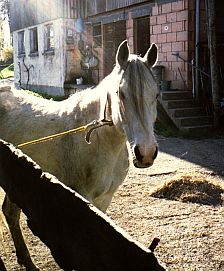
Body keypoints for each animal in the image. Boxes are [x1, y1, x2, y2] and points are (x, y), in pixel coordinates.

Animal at [0, 41, 158, 270]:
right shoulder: (83, 201)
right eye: (121, 93)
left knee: (10, 213)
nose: (146, 153)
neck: (101, 140)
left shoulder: (104, 199)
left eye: (156, 95)